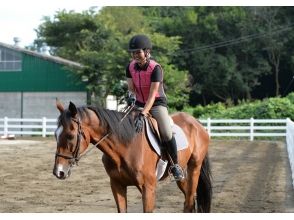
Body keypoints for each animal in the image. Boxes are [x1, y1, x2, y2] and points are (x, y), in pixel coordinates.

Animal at [52, 100, 211, 212]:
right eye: (55, 134)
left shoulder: (148, 188)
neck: (126, 146)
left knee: (189, 201)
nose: (58, 172)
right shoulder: (117, 185)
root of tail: (196, 122)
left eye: (70, 136)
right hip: (182, 175)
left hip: (194, 168)